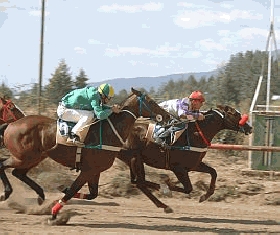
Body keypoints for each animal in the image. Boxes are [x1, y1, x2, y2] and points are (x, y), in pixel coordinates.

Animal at [0, 87, 167, 220]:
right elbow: (74, 189)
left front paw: (63, 189)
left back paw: (40, 196)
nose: (167, 116)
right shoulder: (87, 170)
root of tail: (12, 124)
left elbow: (91, 194)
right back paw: (7, 193)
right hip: (23, 157)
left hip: (33, 158)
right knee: (4, 166)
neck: (108, 132)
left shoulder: (95, 171)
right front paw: (54, 213)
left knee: (18, 173)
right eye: (151, 101)